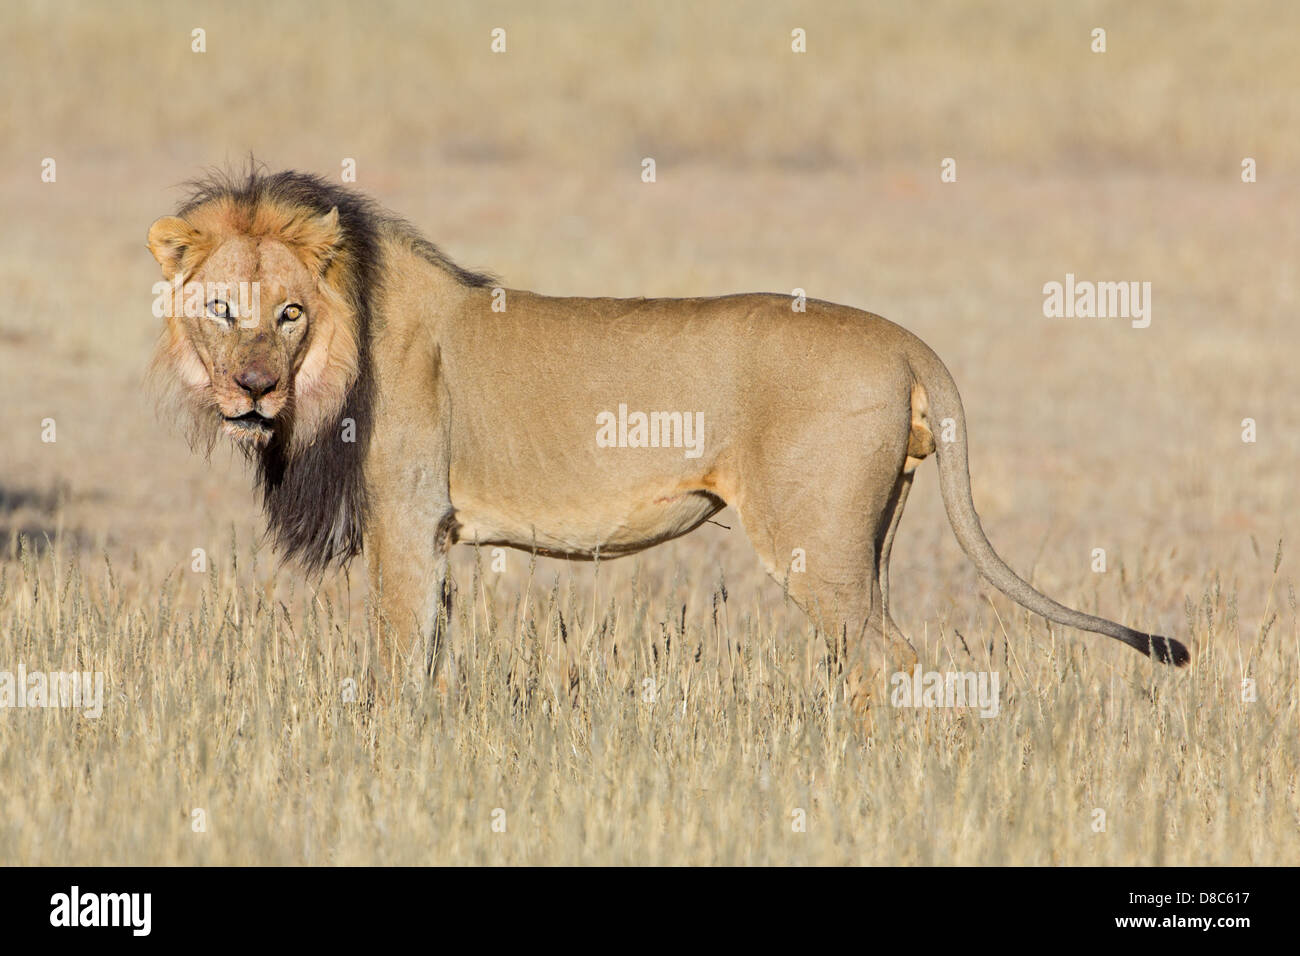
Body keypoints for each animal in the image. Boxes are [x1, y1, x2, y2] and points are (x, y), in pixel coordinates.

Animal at [147, 167, 1190, 691]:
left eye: (288, 313)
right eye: (222, 308)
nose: (251, 390)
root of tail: (907, 344)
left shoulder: (404, 521)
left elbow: (398, 662)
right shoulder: (434, 534)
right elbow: (433, 658)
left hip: (811, 535)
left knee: (887, 657)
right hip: (870, 536)